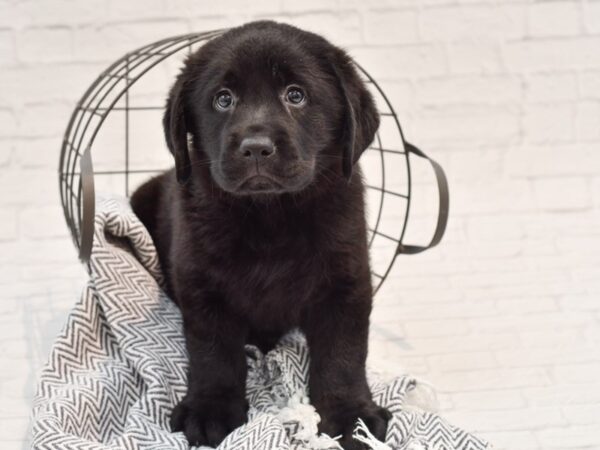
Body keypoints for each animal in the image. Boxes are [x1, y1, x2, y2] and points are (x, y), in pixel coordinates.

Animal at [131, 19, 390, 448]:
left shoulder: (346, 282)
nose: (255, 147)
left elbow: (344, 354)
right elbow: (213, 353)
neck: (270, 215)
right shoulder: (201, 284)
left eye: (296, 95)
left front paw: (351, 414)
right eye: (223, 99)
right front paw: (210, 410)